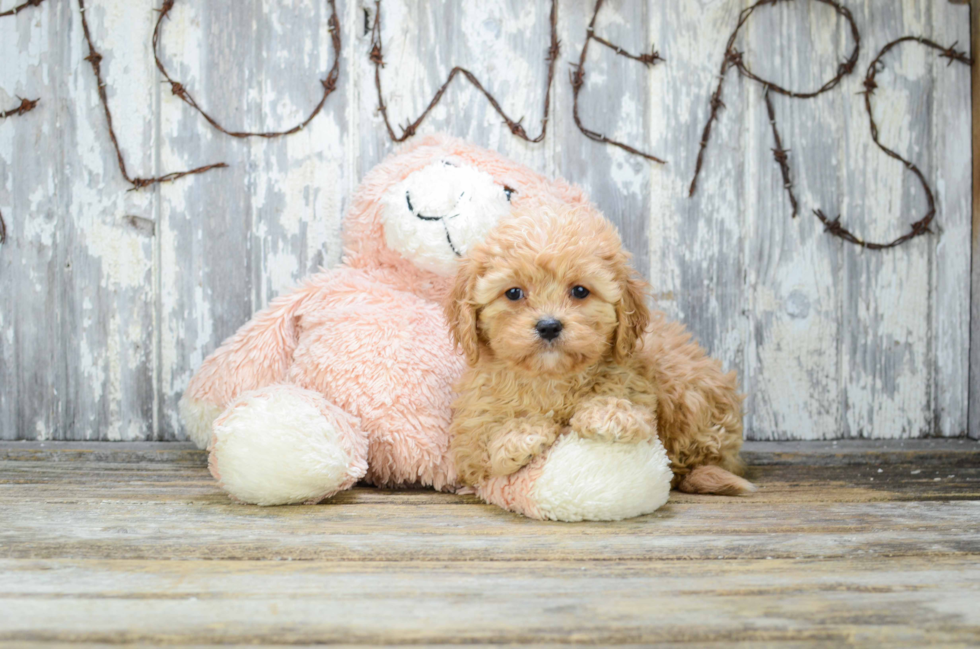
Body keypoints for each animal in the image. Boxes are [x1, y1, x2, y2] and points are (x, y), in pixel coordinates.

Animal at [448, 205, 756, 494]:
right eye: (513, 293)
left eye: (580, 291)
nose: (549, 326)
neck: (551, 379)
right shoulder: (469, 433)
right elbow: (482, 442)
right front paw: (522, 435)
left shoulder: (637, 385)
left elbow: (627, 403)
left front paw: (607, 416)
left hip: (688, 389)